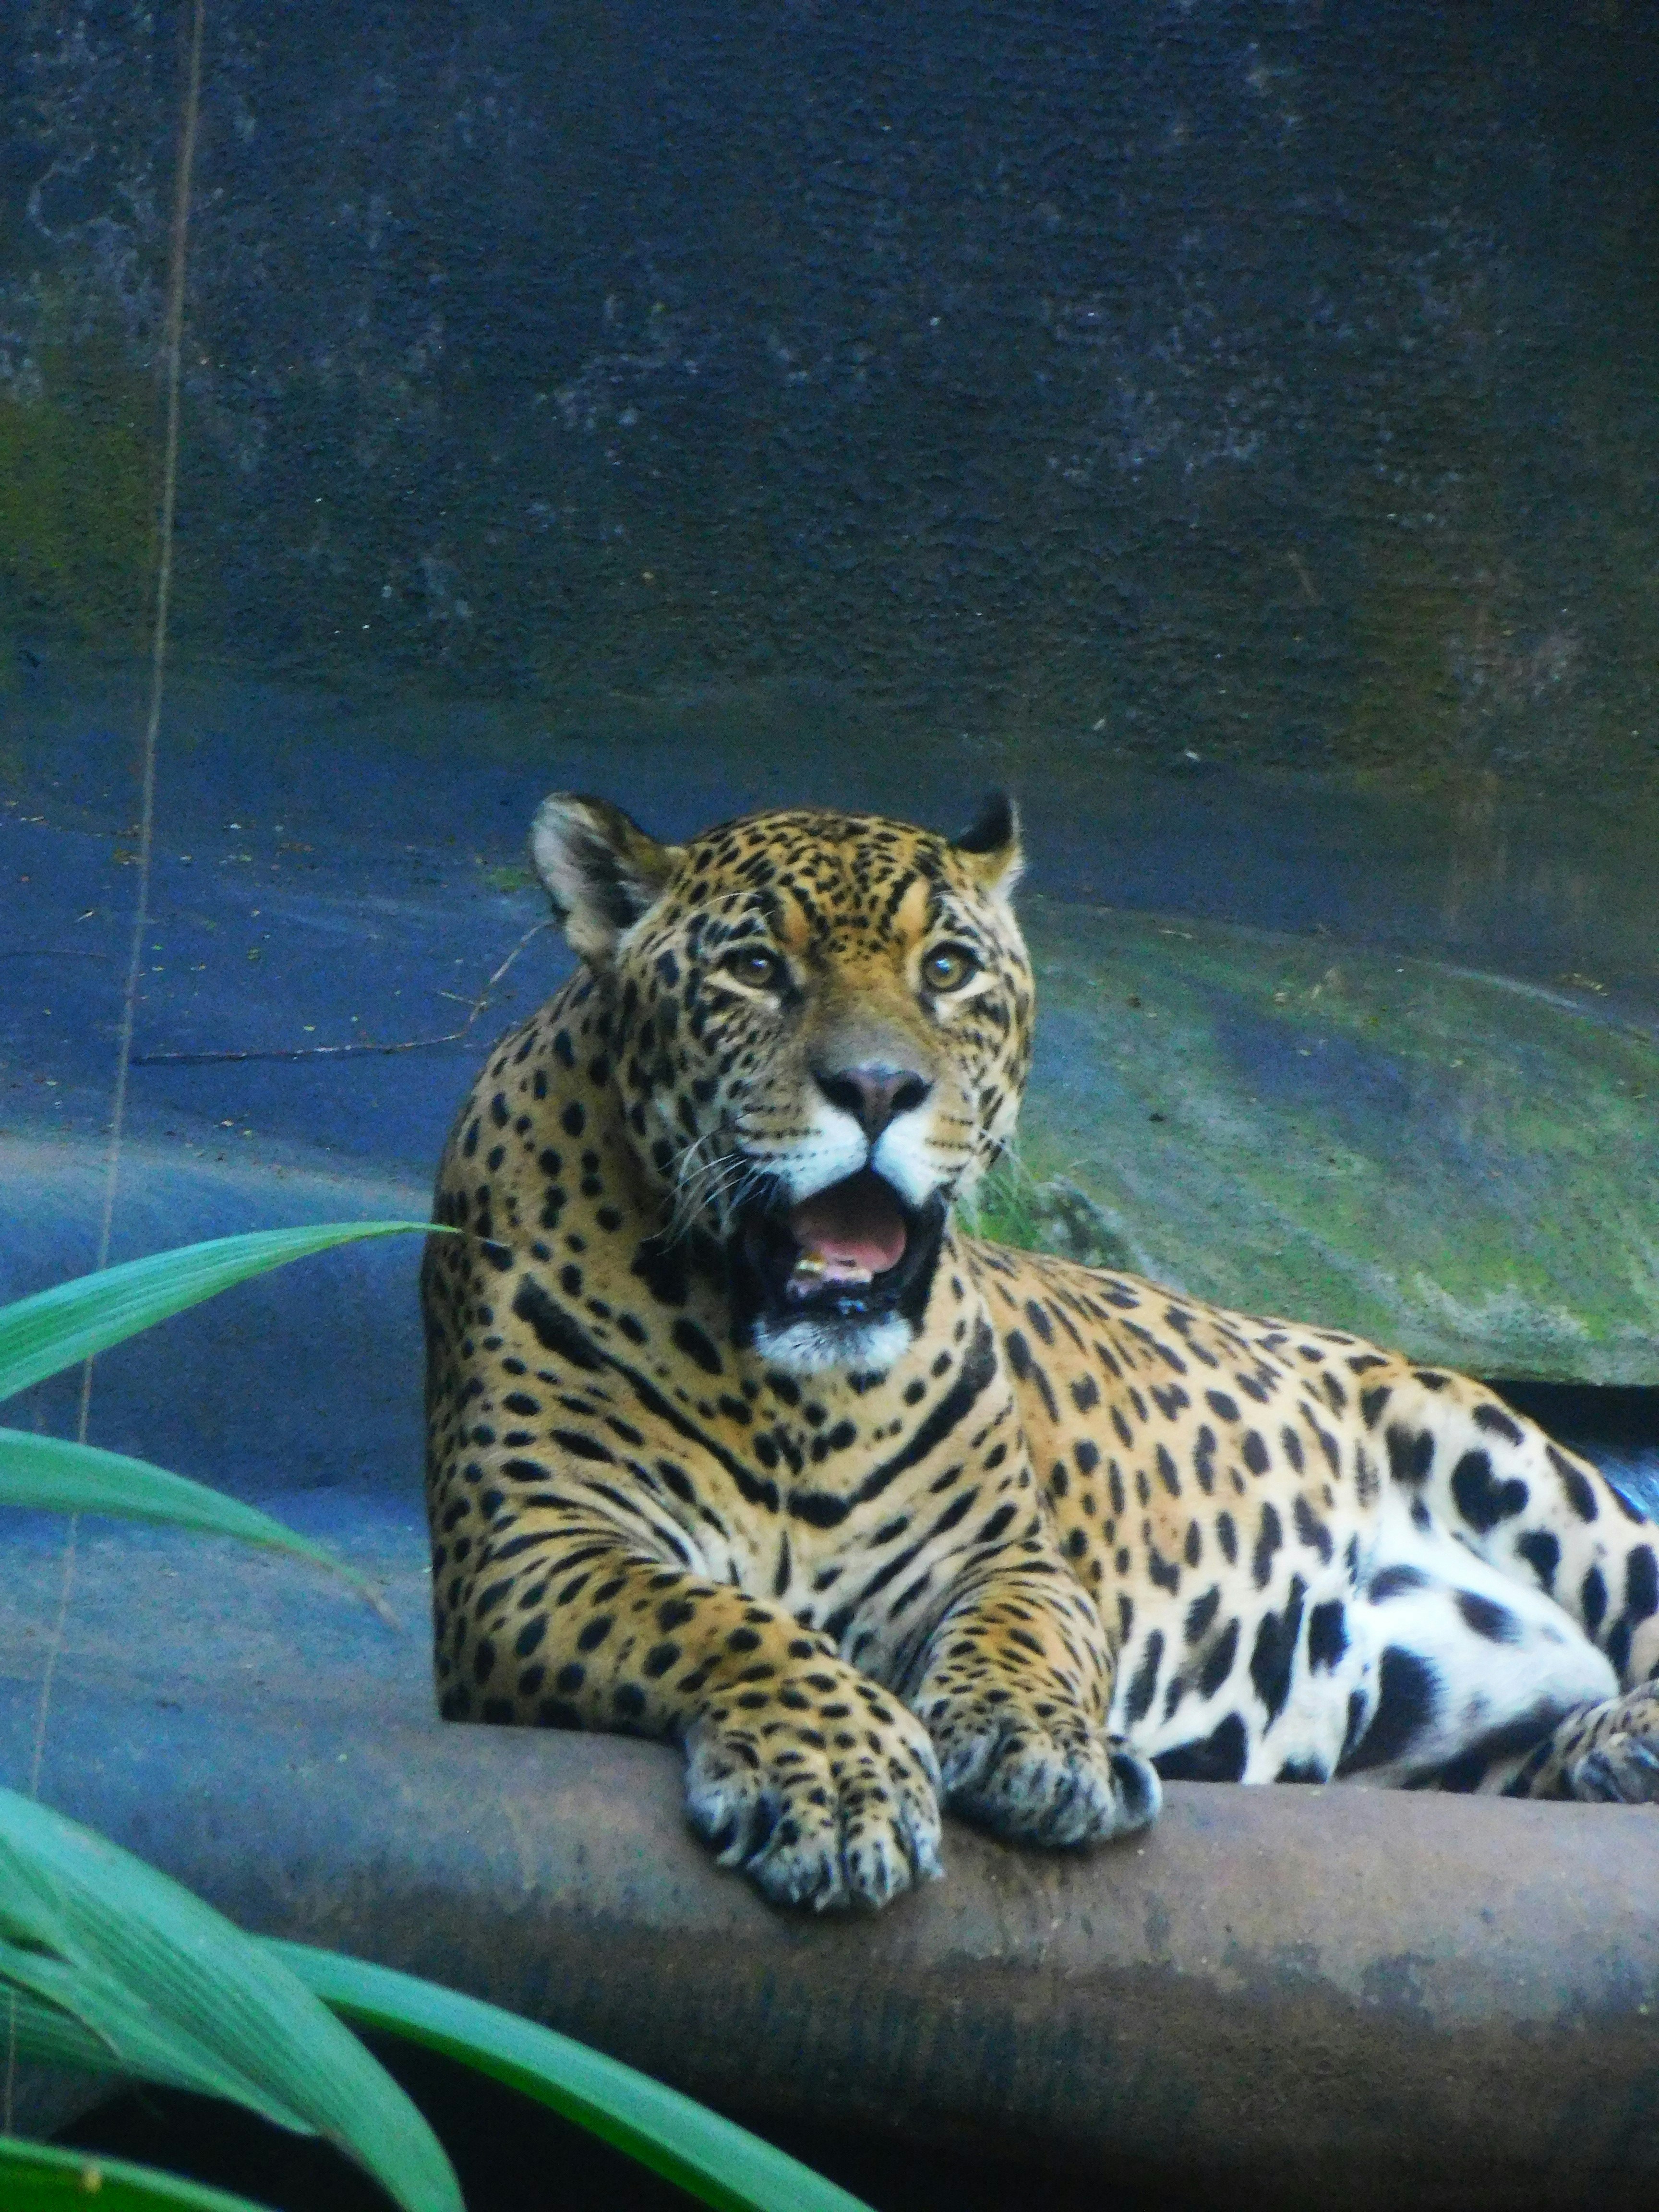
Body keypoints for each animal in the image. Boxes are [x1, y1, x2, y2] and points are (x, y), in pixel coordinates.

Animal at [422, 790, 1659, 1911]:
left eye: (947, 969)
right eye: (757, 968)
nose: (879, 1087)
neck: (794, 1397)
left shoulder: (1005, 1556)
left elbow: (1024, 1639)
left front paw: (1043, 1750)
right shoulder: (530, 1549)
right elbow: (721, 1623)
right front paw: (837, 1775)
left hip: (1499, 1451)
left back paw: (1628, 1735)